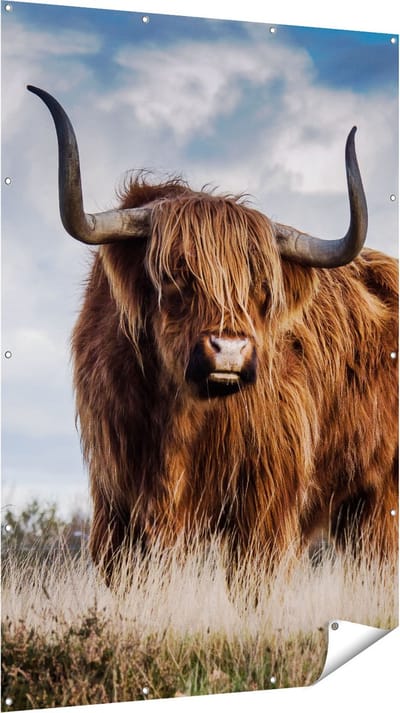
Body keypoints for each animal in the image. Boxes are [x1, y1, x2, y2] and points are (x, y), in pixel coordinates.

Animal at [28, 85, 398, 582]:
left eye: (262, 287)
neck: (178, 417)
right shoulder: (117, 502)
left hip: (380, 500)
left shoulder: (265, 503)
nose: (230, 350)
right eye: (175, 275)